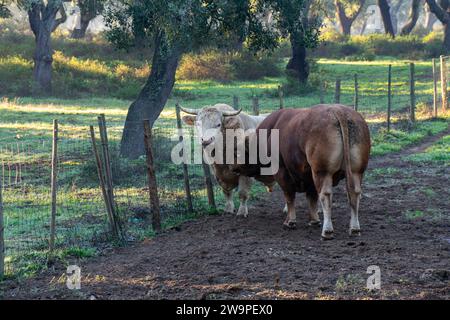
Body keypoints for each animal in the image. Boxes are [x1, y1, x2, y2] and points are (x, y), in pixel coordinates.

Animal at [232, 105, 370, 240]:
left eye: (239, 153)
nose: (234, 168)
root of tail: (338, 111)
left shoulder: (282, 171)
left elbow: (289, 196)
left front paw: (290, 221)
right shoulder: (310, 176)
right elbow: (312, 197)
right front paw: (314, 220)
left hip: (322, 172)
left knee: (325, 195)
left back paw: (327, 231)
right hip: (356, 172)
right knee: (354, 193)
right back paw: (354, 229)